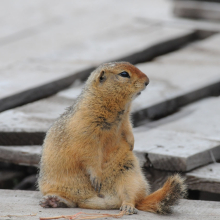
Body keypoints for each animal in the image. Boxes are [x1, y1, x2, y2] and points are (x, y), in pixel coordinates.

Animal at [37, 62, 186, 215]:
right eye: (124, 74)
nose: (147, 81)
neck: (117, 109)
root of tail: (99, 200)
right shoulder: (85, 130)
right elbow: (89, 153)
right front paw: (96, 177)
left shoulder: (125, 120)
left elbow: (128, 129)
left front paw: (131, 143)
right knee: (73, 202)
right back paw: (53, 201)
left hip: (129, 174)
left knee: (130, 196)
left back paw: (128, 206)